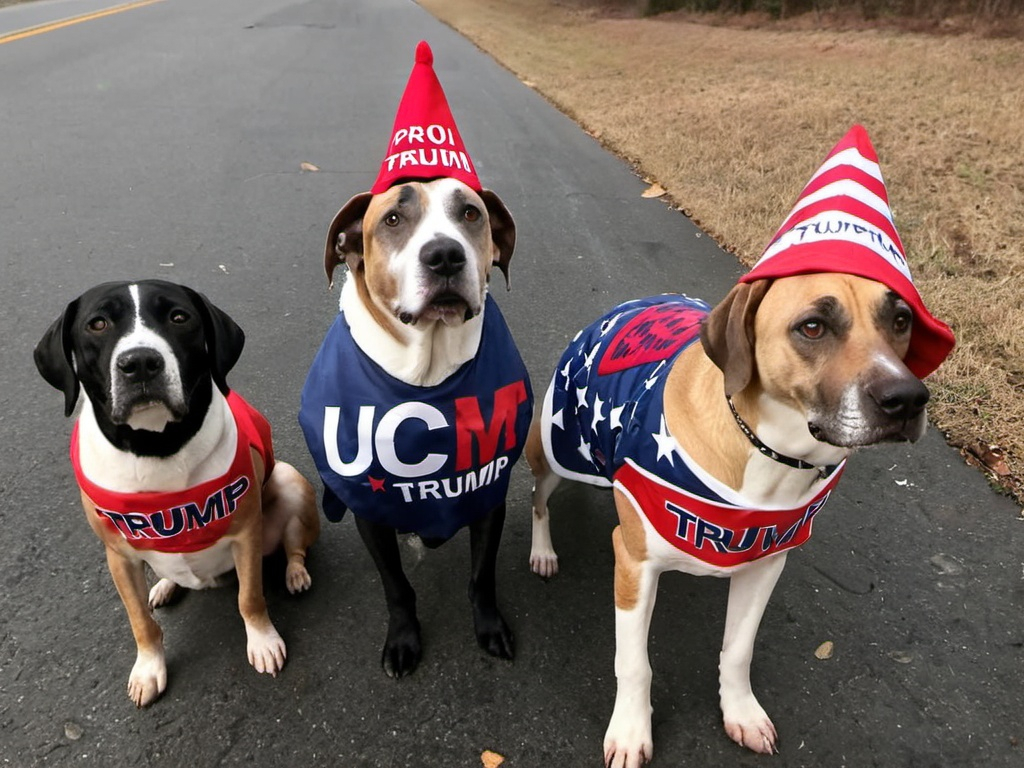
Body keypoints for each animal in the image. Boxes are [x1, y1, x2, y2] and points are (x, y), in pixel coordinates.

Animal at [35, 280, 319, 708]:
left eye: (179, 317)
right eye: (97, 324)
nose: (139, 362)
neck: (156, 444)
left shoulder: (245, 534)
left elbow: (249, 598)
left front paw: (262, 641)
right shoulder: (118, 556)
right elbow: (141, 621)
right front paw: (149, 667)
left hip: (287, 479)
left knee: (294, 545)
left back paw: (295, 572)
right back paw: (166, 585)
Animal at [299, 41, 532, 679]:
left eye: (471, 214)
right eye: (393, 220)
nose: (446, 255)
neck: (425, 375)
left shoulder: (487, 491)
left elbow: (481, 575)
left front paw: (489, 627)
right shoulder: (370, 507)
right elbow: (396, 586)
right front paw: (403, 639)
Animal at [524, 123, 954, 765]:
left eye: (899, 320)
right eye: (812, 327)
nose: (907, 399)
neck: (771, 452)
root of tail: (626, 304)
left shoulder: (766, 562)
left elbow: (739, 649)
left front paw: (740, 712)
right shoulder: (635, 562)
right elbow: (635, 663)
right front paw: (630, 730)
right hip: (554, 444)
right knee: (539, 498)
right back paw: (543, 550)